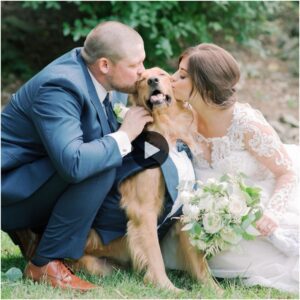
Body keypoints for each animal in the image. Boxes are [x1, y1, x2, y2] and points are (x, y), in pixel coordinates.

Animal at [70, 67, 220, 292]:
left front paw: (213, 288)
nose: (152, 80)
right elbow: (154, 254)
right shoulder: (144, 209)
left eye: (163, 74)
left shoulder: (184, 208)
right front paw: (167, 288)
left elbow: (197, 258)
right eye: (141, 79)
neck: (168, 134)